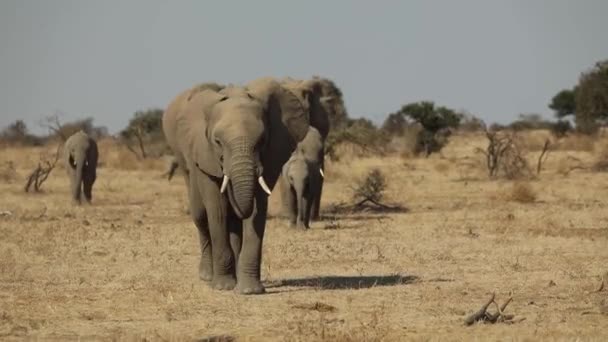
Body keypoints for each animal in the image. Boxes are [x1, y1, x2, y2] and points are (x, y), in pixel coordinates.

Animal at [162, 77, 330, 294]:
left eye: (262, 140)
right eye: (217, 141)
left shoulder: (270, 155)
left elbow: (256, 210)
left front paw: (250, 290)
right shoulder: (205, 153)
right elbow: (217, 210)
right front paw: (223, 287)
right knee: (200, 215)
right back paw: (207, 276)